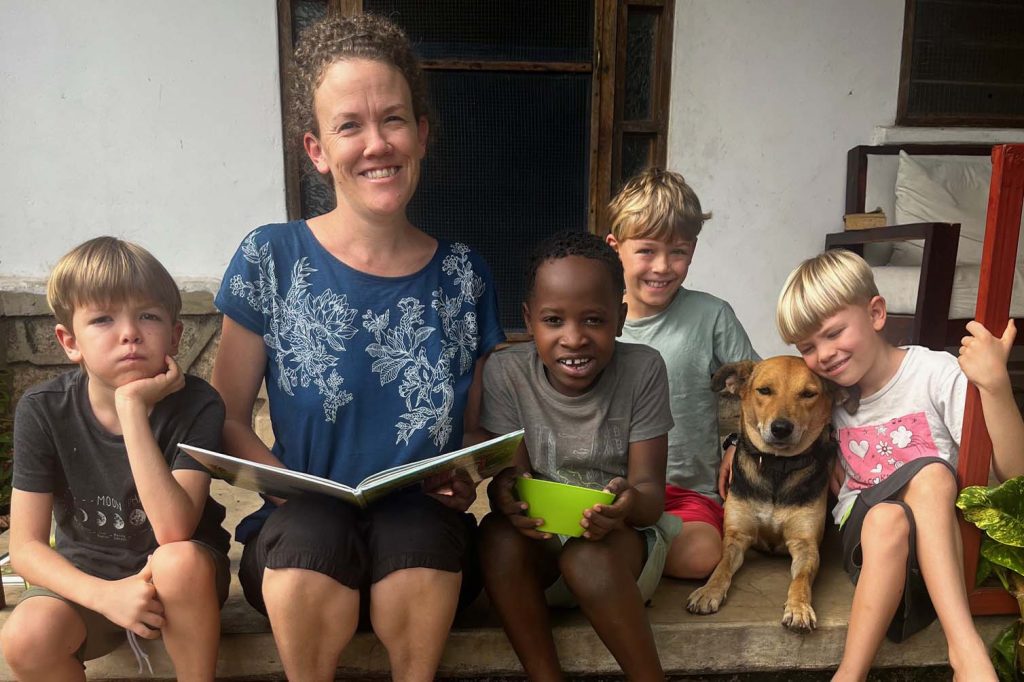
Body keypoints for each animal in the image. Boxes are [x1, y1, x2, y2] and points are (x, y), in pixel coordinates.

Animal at [686, 356, 837, 632]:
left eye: (808, 394)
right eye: (764, 390)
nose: (781, 428)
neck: (776, 467)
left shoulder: (805, 544)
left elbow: (801, 579)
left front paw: (798, 608)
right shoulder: (737, 536)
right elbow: (721, 566)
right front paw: (708, 591)